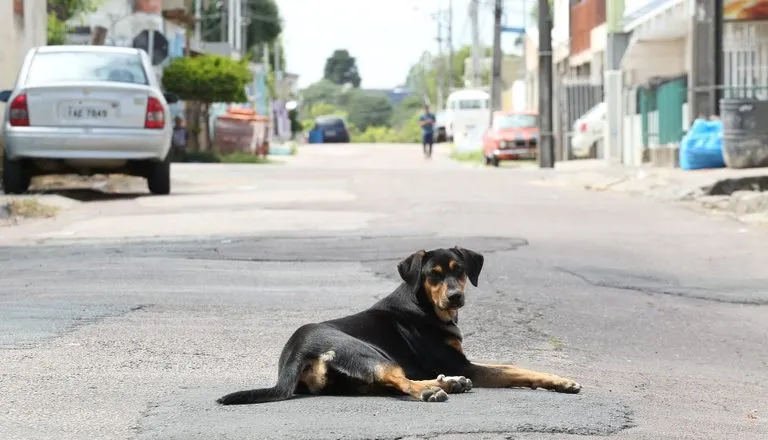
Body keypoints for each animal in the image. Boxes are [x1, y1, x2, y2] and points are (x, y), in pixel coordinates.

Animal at [213, 246, 580, 404]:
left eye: (459, 271)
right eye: (433, 275)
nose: (455, 297)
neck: (425, 307)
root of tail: (295, 355)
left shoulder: (463, 362)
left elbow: (512, 365)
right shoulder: (465, 364)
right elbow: (513, 369)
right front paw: (559, 381)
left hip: (357, 380)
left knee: (392, 384)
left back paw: (449, 384)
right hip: (367, 353)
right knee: (402, 382)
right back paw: (436, 389)